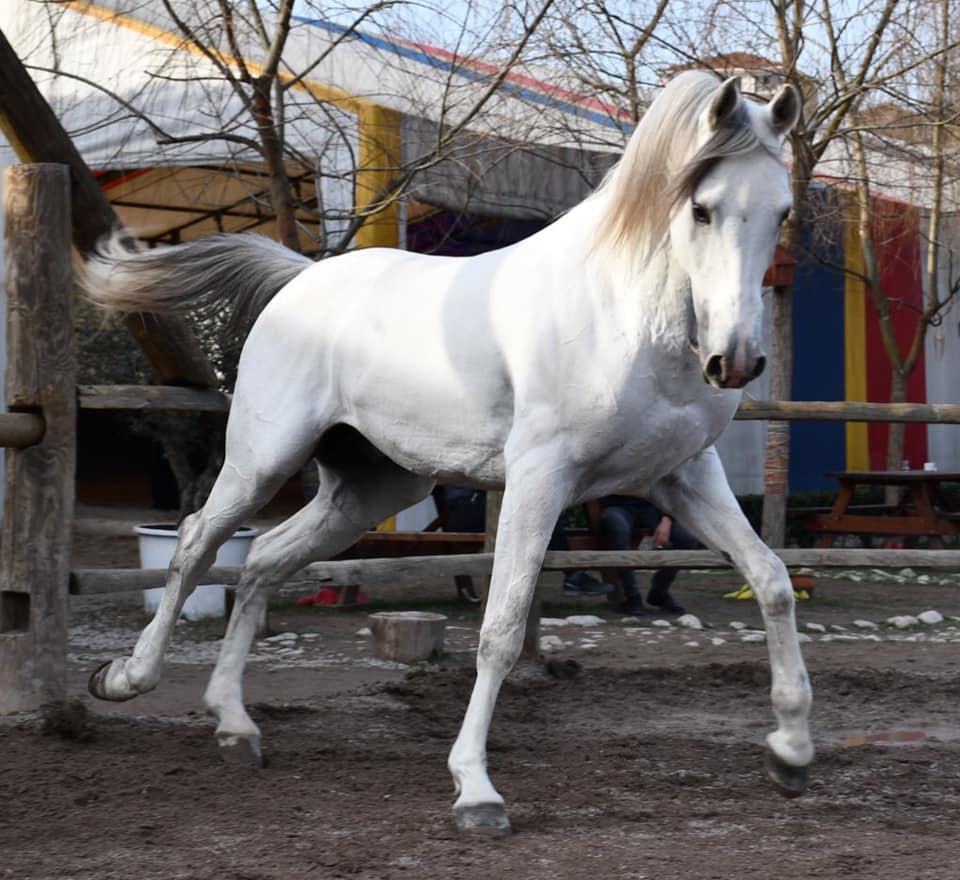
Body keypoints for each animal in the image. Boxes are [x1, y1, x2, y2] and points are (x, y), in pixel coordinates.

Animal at [82, 72, 808, 836]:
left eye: (783, 212)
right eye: (702, 208)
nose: (737, 360)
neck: (628, 318)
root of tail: (301, 276)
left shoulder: (683, 477)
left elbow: (772, 580)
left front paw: (790, 752)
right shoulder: (540, 480)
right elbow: (500, 627)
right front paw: (476, 791)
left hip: (369, 490)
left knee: (263, 563)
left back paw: (235, 726)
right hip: (263, 459)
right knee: (196, 545)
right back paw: (125, 679)